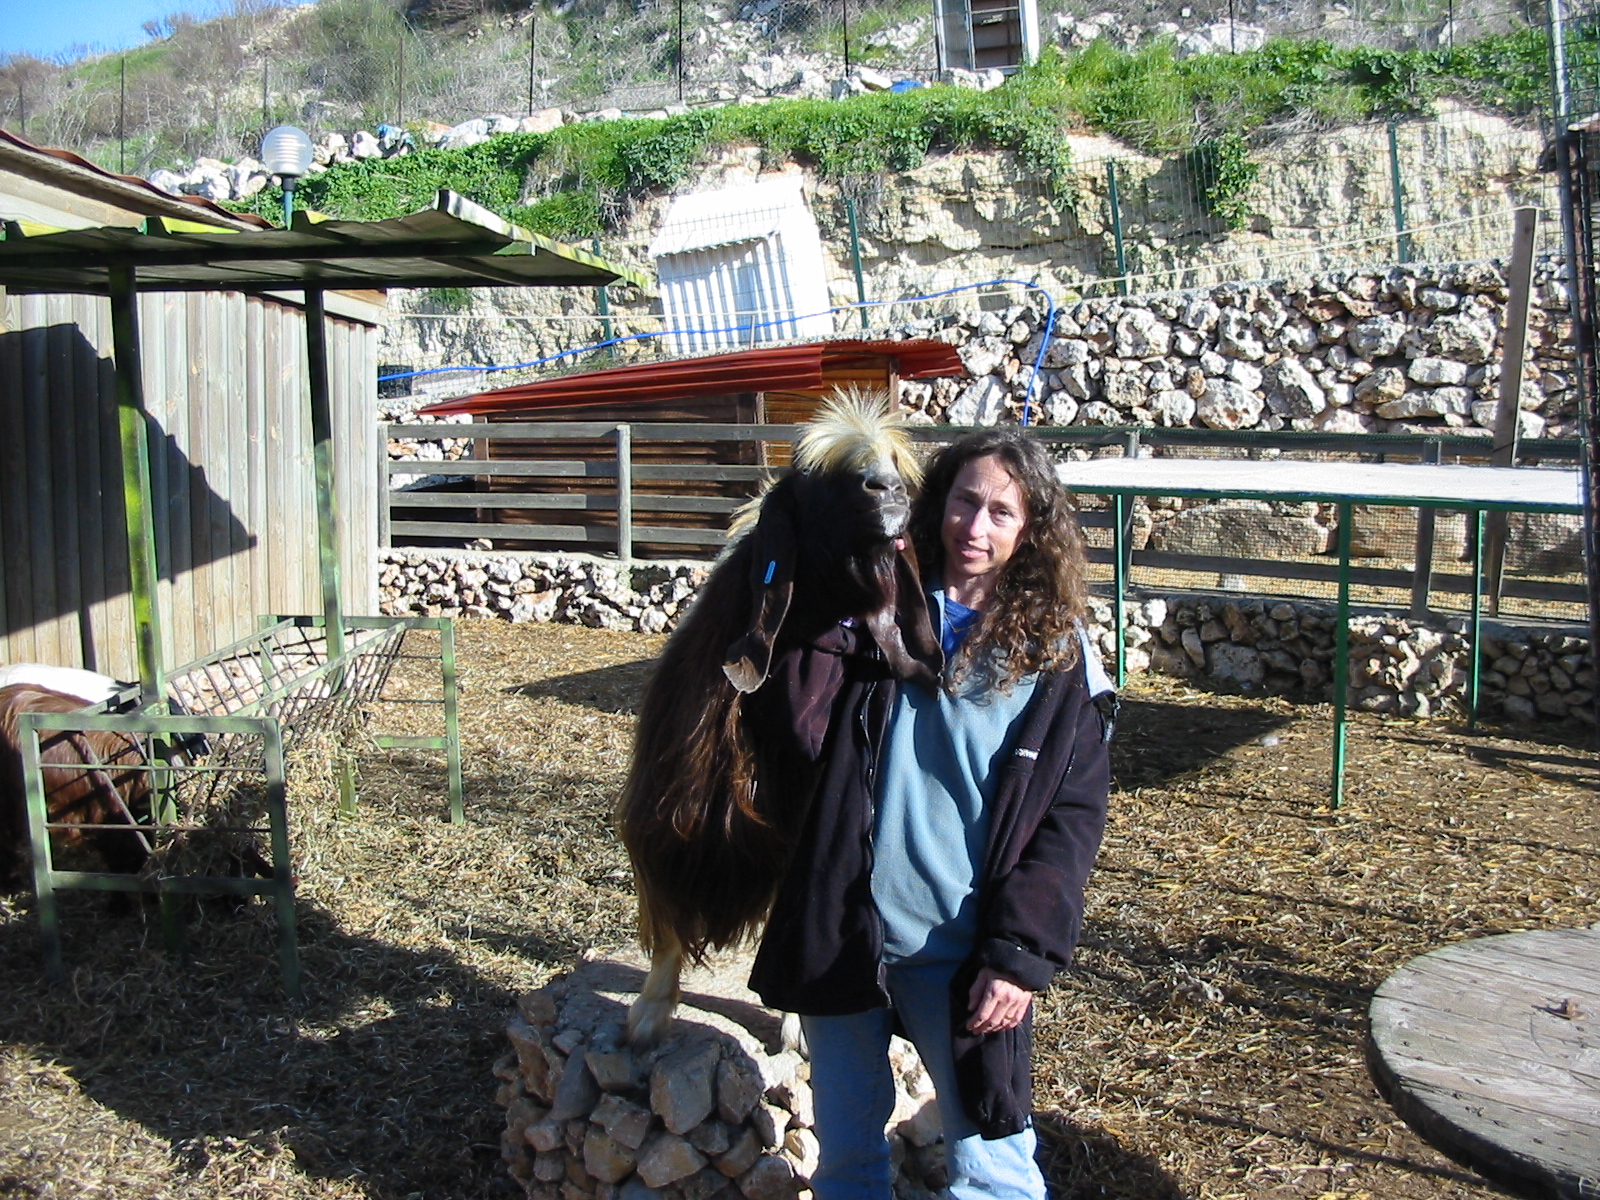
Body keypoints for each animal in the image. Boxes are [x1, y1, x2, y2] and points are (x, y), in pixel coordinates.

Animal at [611, 392, 934, 1043]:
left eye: (893, 464)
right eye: (817, 477)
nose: (888, 490)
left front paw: (797, 1026)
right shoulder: (674, 811)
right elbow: (668, 911)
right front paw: (650, 1012)